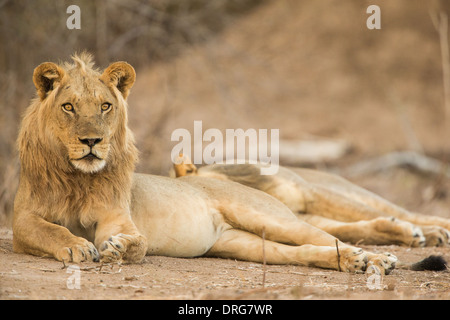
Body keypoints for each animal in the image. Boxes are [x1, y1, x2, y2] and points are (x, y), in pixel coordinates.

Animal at [14, 53, 436, 276]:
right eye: (69, 107)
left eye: (105, 106)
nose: (92, 141)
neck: (77, 178)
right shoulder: (22, 221)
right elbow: (49, 230)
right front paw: (77, 247)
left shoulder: (118, 217)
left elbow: (137, 241)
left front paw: (118, 248)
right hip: (245, 243)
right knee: (306, 251)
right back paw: (360, 262)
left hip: (269, 216)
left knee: (327, 236)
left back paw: (378, 258)